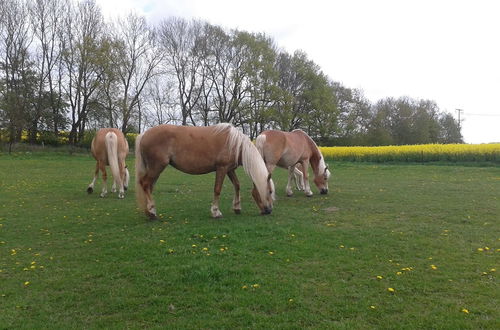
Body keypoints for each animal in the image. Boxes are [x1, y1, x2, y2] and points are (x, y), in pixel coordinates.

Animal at [135, 123, 276, 219]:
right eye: (269, 191)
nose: (269, 211)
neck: (235, 144)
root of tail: (144, 134)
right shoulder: (221, 168)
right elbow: (217, 189)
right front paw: (216, 212)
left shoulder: (229, 170)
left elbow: (237, 185)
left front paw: (237, 207)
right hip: (156, 167)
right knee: (145, 184)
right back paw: (151, 211)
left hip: (155, 170)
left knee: (149, 187)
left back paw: (150, 211)